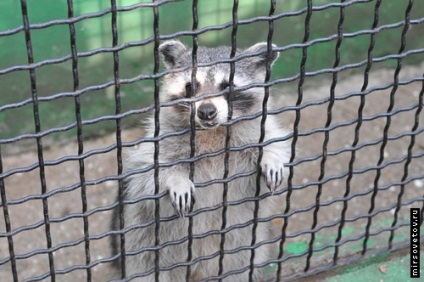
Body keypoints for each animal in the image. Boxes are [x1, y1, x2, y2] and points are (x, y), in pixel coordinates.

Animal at [110, 40, 292, 282]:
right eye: (190, 87)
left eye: (227, 86)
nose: (206, 111)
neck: (212, 132)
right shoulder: (157, 144)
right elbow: (145, 177)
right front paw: (176, 179)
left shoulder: (256, 131)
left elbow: (275, 145)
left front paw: (270, 157)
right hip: (142, 250)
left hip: (241, 252)